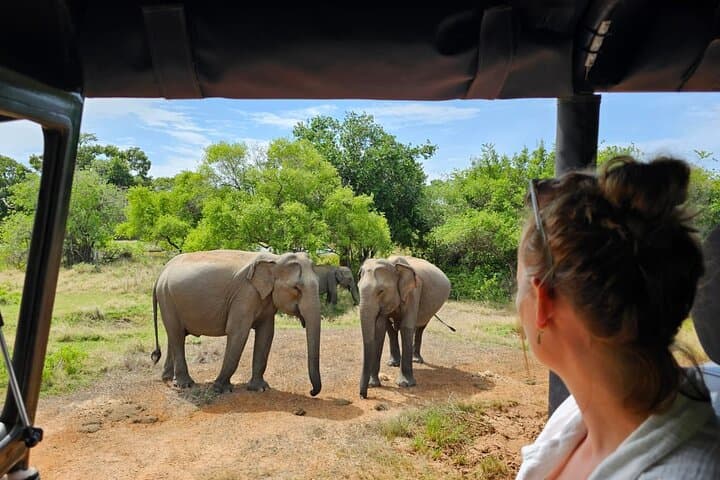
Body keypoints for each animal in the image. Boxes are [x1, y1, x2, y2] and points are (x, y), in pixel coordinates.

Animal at [150, 250, 322, 396]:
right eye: (296, 288)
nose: (311, 392)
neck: (275, 259)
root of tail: (161, 273)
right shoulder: (245, 295)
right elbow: (238, 332)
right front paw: (220, 389)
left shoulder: (264, 300)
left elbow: (266, 334)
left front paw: (260, 389)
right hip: (167, 299)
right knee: (177, 334)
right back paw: (185, 385)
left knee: (174, 336)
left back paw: (167, 378)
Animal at [357, 255, 451, 398]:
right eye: (358, 288)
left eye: (381, 291)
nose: (363, 396)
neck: (392, 265)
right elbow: (379, 329)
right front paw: (374, 384)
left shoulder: (414, 292)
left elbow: (406, 327)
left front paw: (405, 384)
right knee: (391, 330)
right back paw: (393, 363)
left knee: (420, 327)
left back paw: (416, 360)